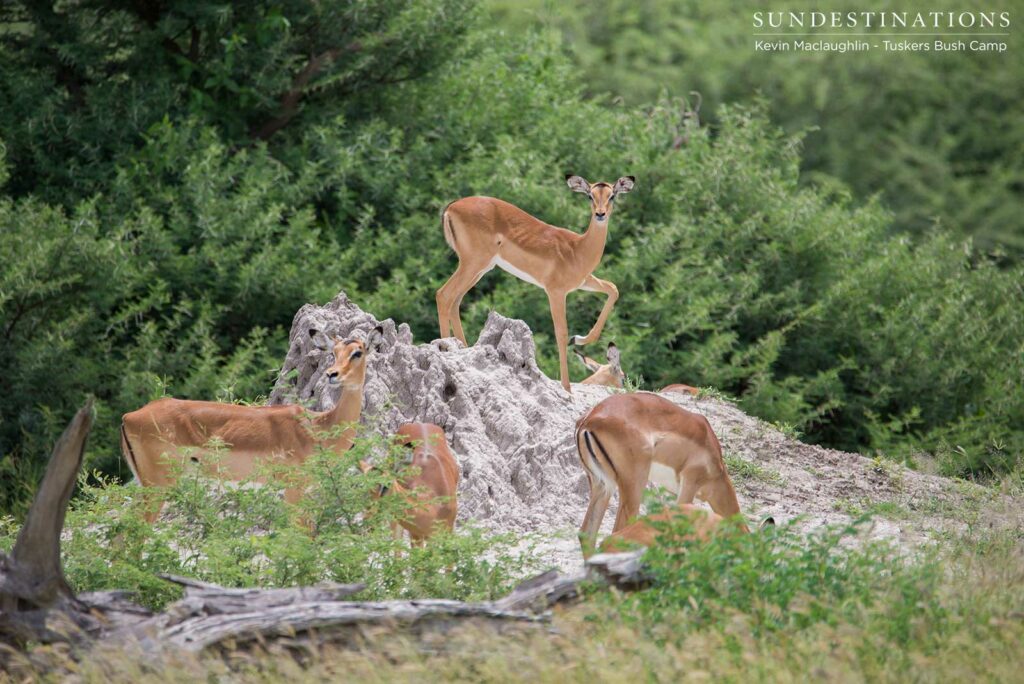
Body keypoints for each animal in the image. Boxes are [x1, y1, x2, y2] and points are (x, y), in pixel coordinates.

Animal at [120, 326, 383, 522]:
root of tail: (129, 416)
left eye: (357, 352)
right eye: (334, 352)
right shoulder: (293, 490)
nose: (332, 374)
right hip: (156, 487)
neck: (317, 428)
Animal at [436, 174, 635, 392]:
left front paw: (578, 338)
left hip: (479, 269)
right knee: (443, 295)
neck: (578, 249)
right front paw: (567, 388)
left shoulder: (584, 282)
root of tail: (452, 207)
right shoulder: (556, 292)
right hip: (473, 264)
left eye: (612, 195)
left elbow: (613, 289)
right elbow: (561, 333)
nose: (600, 214)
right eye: (590, 195)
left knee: (455, 301)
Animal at [574, 392, 750, 557]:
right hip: (634, 484)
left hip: (603, 485)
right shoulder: (690, 483)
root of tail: (590, 420)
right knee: (618, 532)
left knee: (587, 534)